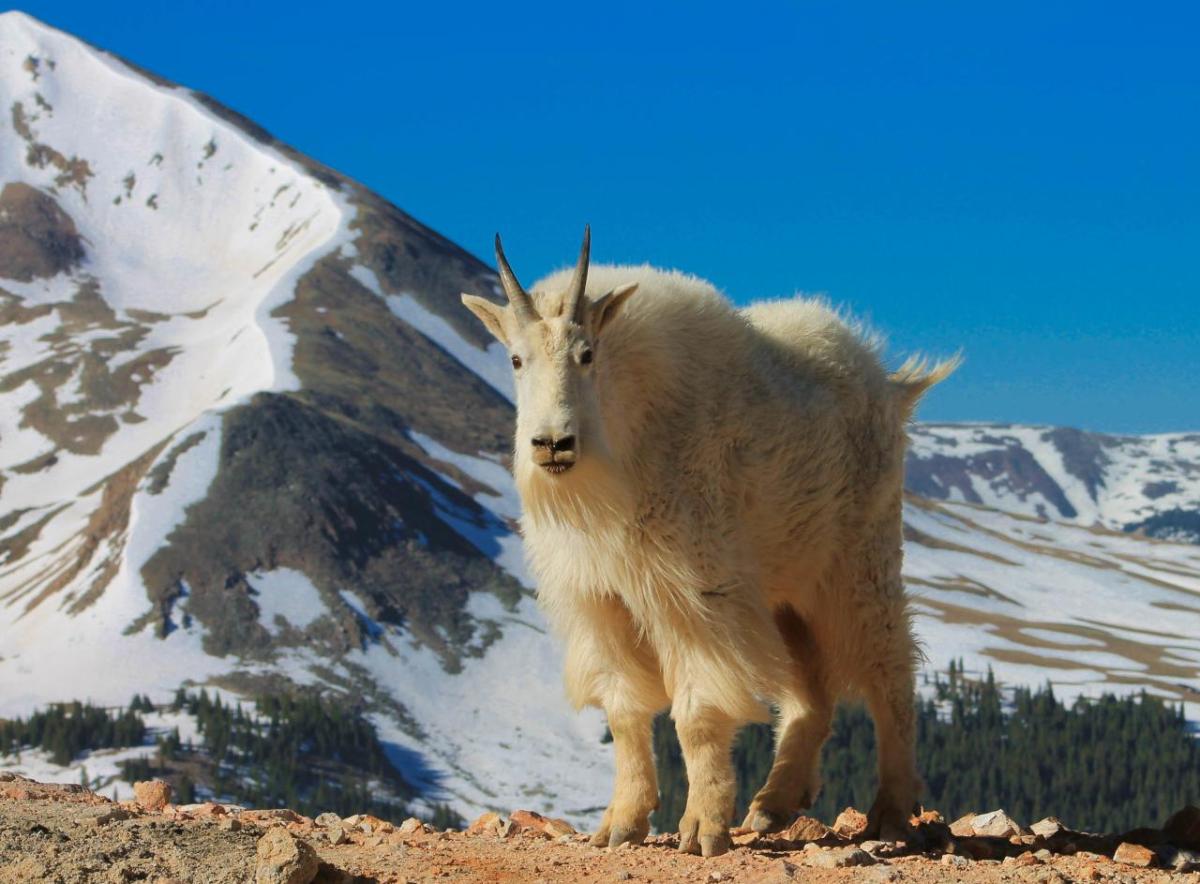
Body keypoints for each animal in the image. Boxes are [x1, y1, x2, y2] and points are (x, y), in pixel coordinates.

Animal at [458, 227, 955, 854]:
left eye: (587, 354)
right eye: (516, 359)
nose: (553, 444)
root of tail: (890, 385)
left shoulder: (694, 591)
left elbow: (696, 712)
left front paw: (701, 828)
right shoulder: (601, 598)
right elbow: (623, 711)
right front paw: (620, 824)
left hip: (857, 557)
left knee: (889, 668)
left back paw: (890, 809)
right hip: (781, 585)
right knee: (810, 690)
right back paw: (772, 804)